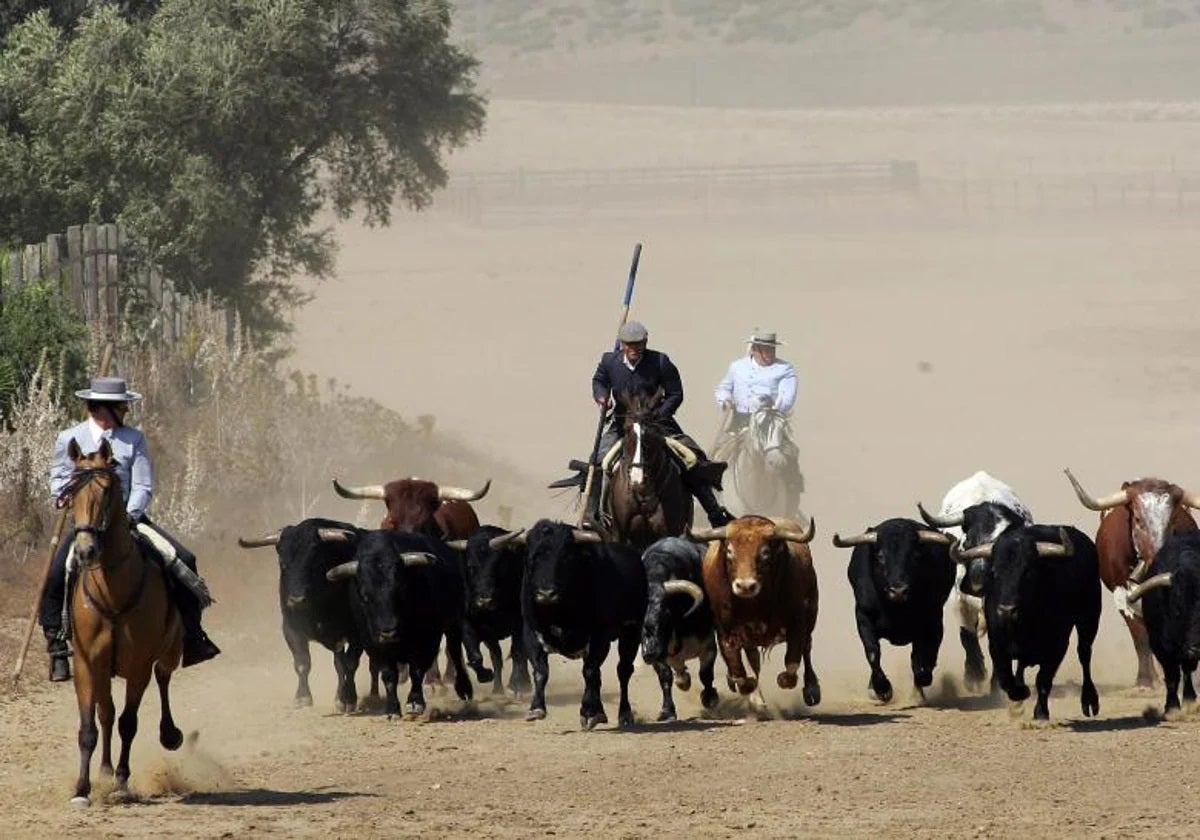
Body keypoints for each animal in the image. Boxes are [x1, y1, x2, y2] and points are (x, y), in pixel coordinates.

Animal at [62, 436, 183, 801]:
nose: (86, 551)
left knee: (163, 677)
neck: (112, 592)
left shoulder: (139, 664)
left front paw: (121, 784)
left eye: (106, 491)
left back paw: (170, 734)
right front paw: (83, 788)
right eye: (70, 492)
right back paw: (102, 769)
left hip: (170, 651)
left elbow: (129, 723)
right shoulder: (87, 662)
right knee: (106, 713)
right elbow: (90, 726)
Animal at [691, 511, 820, 710]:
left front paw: (786, 680)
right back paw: (755, 696)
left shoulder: (797, 621)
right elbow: (738, 668)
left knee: (807, 646)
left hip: (811, 613)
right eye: (730, 551)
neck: (755, 604)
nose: (745, 586)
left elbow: (792, 660)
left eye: (765, 553)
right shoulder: (725, 630)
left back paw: (811, 688)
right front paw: (741, 683)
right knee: (753, 660)